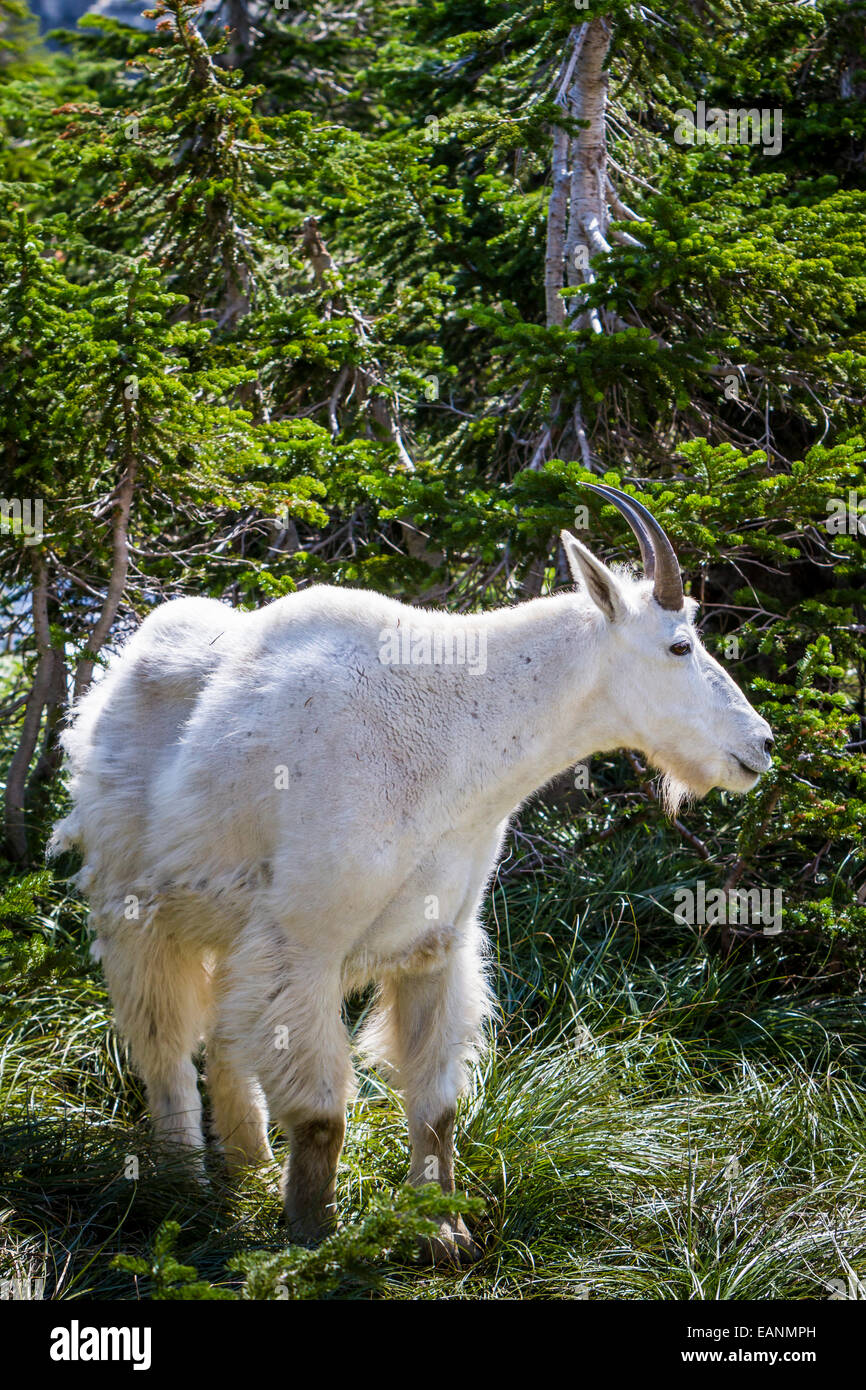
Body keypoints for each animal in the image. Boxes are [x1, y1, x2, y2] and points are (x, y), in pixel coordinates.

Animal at [50, 483, 778, 1267]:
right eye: (680, 645)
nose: (761, 745)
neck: (454, 730)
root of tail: (102, 695)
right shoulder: (305, 941)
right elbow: (322, 1114)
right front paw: (316, 1239)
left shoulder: (437, 943)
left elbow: (437, 1106)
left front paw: (441, 1233)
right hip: (134, 912)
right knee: (164, 1048)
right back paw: (183, 1182)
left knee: (222, 1043)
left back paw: (250, 1174)